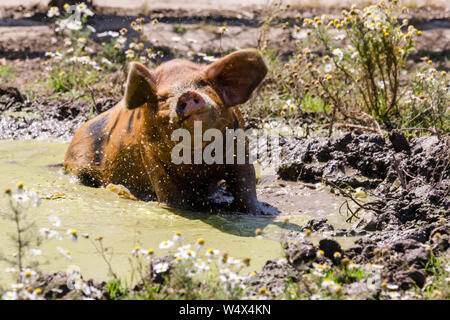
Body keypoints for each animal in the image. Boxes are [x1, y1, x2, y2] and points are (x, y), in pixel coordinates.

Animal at [63, 49, 268, 212]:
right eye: (162, 98)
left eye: (202, 83)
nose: (187, 94)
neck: (196, 158)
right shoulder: (150, 155)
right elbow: (168, 192)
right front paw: (176, 209)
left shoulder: (240, 146)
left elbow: (245, 184)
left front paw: (260, 212)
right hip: (77, 160)